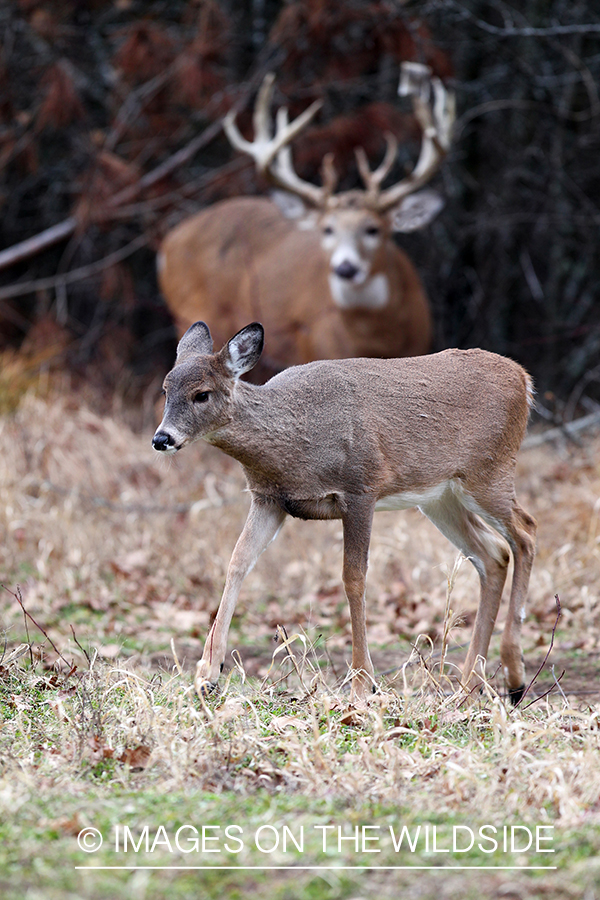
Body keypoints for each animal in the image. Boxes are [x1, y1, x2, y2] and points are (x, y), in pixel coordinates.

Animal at [152, 320, 536, 708]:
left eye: (202, 394)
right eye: (166, 389)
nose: (162, 439)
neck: (293, 440)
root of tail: (523, 377)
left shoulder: (361, 488)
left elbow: (354, 579)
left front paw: (363, 684)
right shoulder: (269, 500)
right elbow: (237, 562)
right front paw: (206, 676)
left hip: (489, 472)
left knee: (525, 533)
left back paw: (514, 677)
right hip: (440, 496)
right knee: (493, 554)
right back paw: (468, 686)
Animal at [158, 65, 454, 378]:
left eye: (373, 229)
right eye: (327, 229)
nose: (345, 268)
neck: (377, 338)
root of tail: (168, 243)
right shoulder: (318, 347)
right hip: (193, 312)